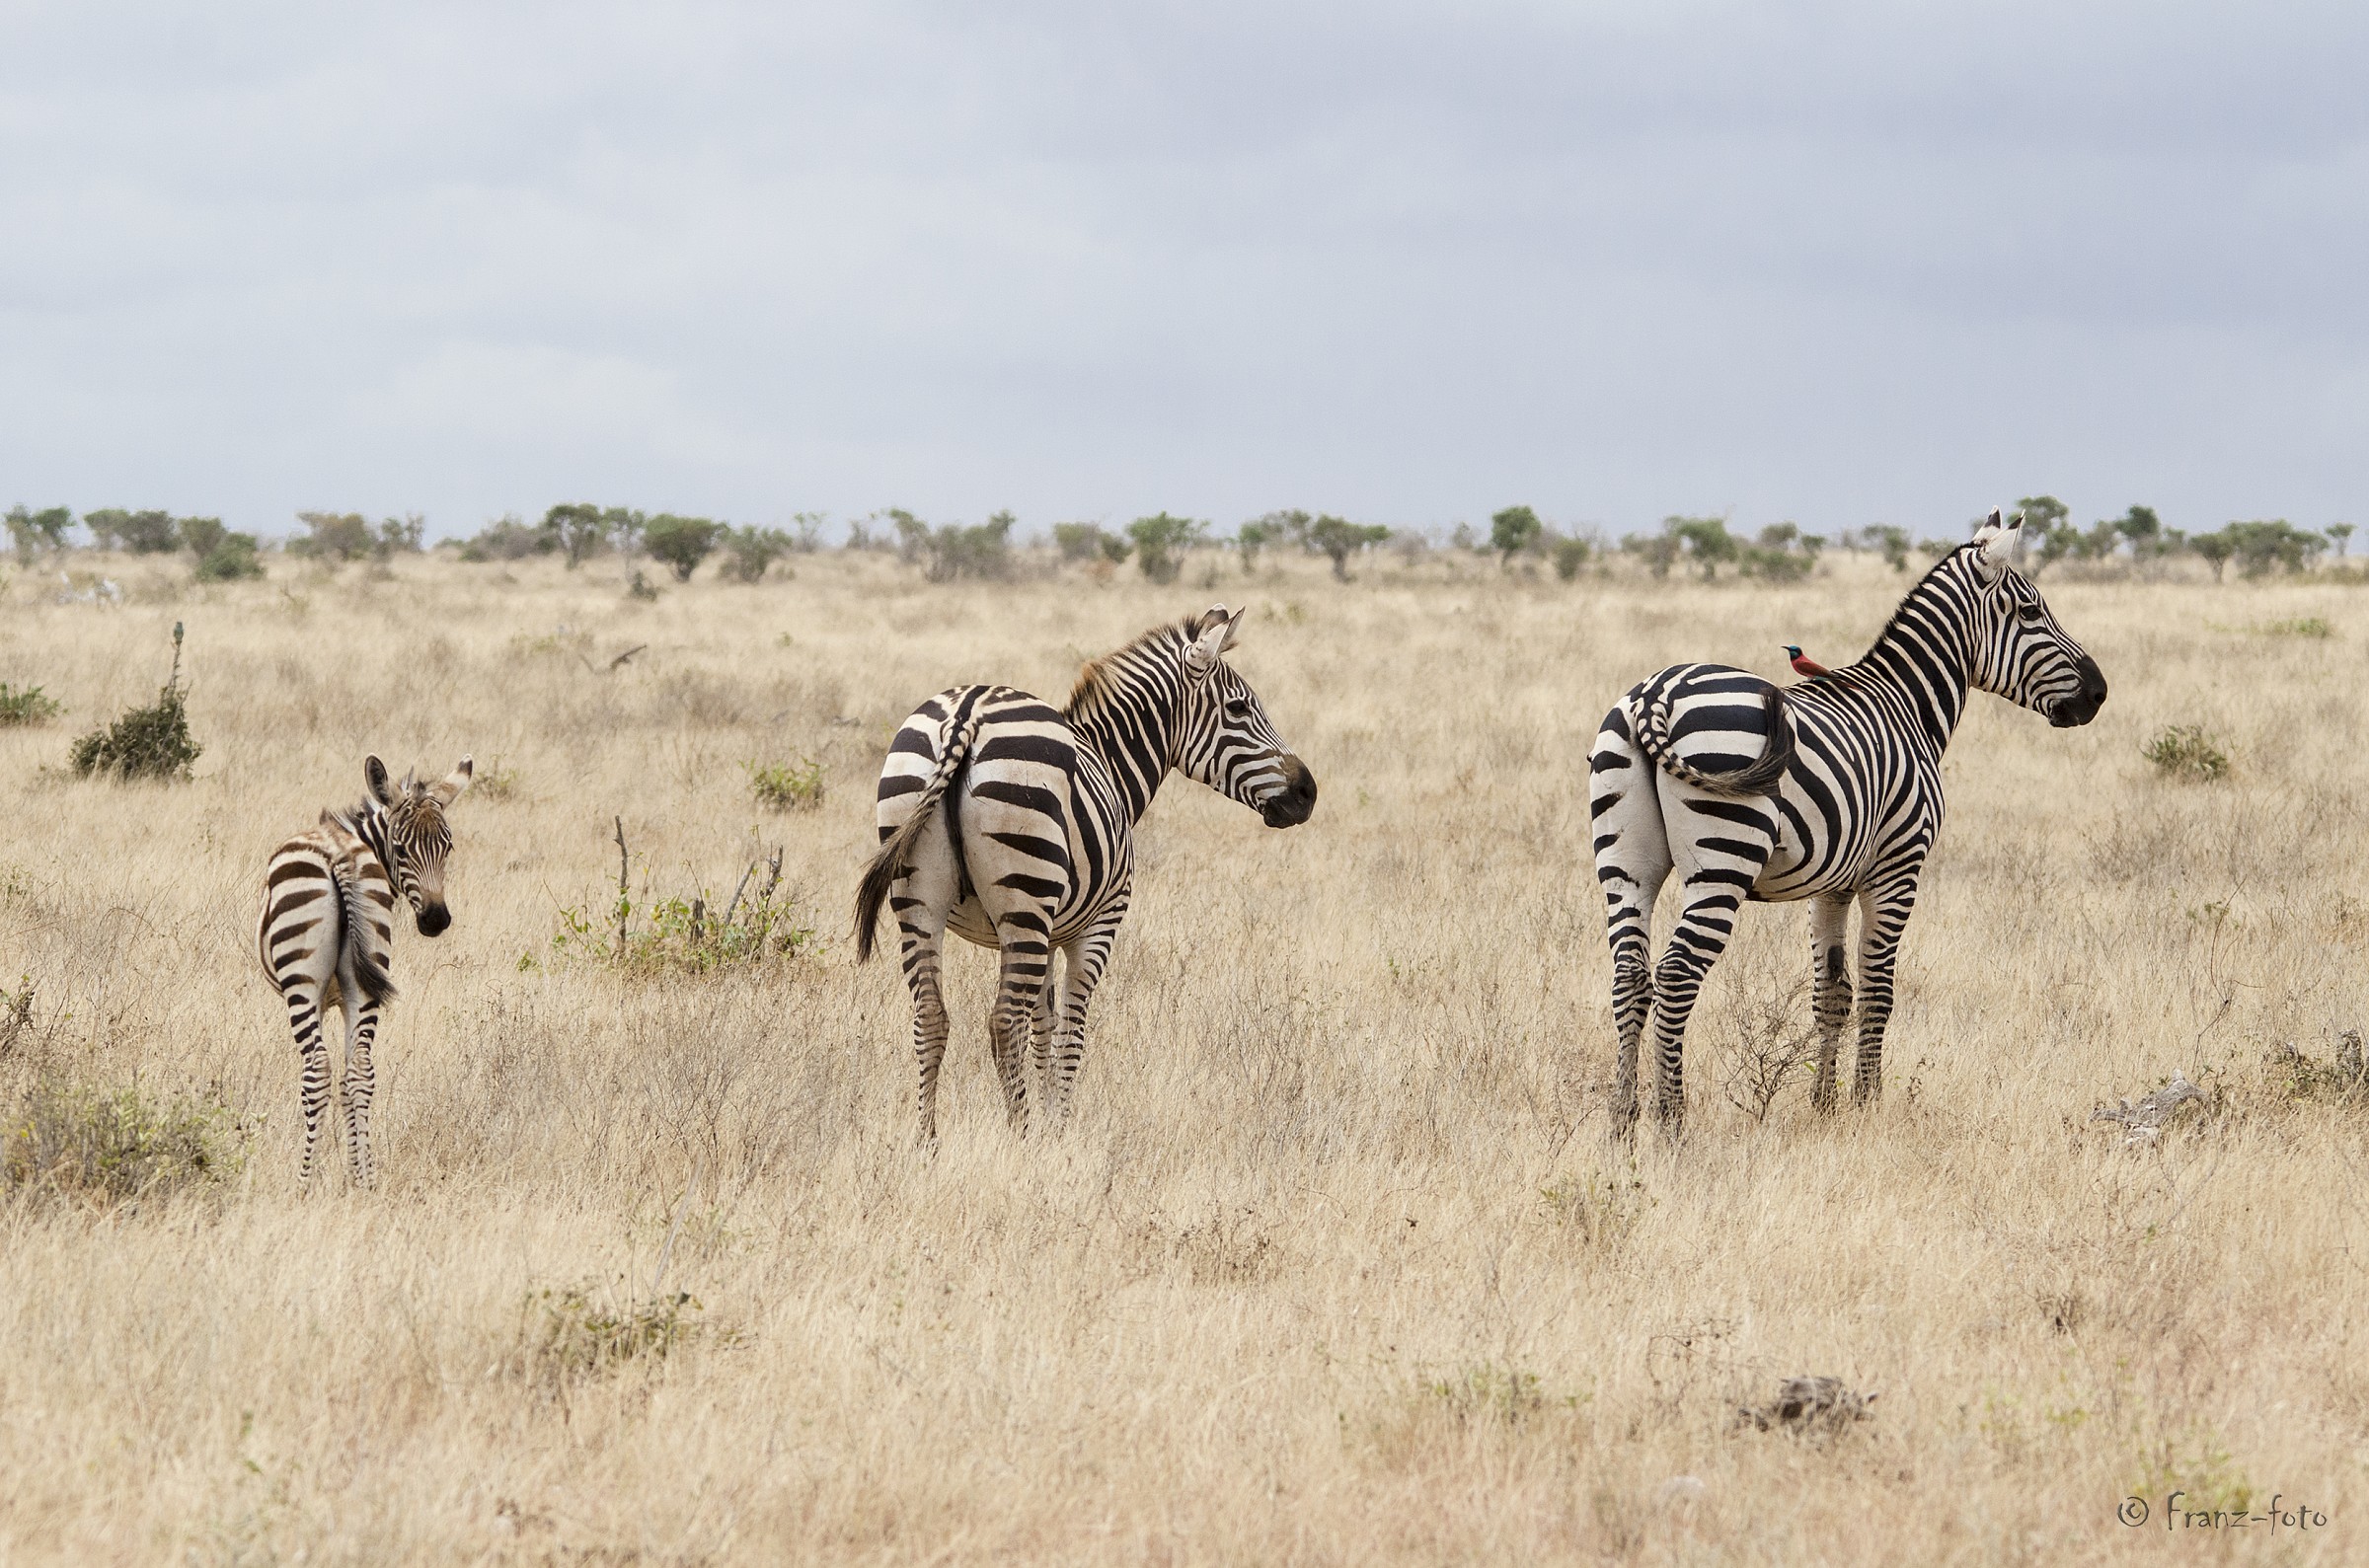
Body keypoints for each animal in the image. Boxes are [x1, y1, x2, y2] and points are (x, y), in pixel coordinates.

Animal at [256, 755, 472, 1185]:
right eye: (402, 849)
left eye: (448, 847)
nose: (436, 920)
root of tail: (339, 855)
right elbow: (348, 1076)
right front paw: (353, 1166)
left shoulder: (322, 998)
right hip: (366, 976)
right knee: (359, 1072)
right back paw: (365, 1181)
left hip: (302, 981)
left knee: (317, 1071)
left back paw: (305, 1181)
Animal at [854, 605, 1317, 1143]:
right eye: (1240, 708)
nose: (1308, 792)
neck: (1112, 765)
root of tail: (966, 714)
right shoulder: (1096, 926)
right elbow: (1070, 1032)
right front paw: (1058, 1132)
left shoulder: (1053, 934)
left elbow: (1045, 1027)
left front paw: (1051, 1119)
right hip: (1024, 897)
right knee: (1002, 1022)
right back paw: (1019, 1138)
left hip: (920, 897)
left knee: (932, 1015)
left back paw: (927, 1143)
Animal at [1588, 510, 2107, 1135]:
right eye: (2030, 611)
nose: (2099, 693)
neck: (1910, 706)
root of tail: (1655, 695)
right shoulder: (1896, 870)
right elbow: (1879, 991)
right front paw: (1866, 1102)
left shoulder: (1831, 884)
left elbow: (1832, 992)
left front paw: (1825, 1105)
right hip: (1722, 862)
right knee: (1676, 975)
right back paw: (1670, 1120)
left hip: (1626, 864)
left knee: (1629, 975)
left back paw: (1622, 1119)